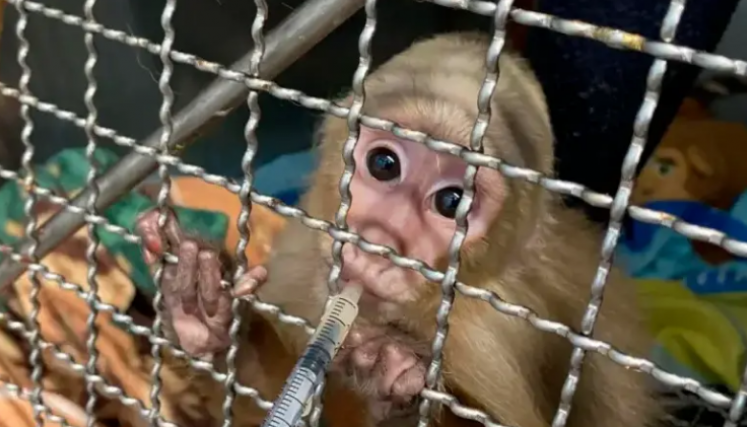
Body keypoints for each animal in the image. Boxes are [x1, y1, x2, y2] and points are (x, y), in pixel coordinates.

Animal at [135, 32, 663, 427]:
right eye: (384, 164)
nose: (379, 243)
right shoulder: (305, 260)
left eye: (452, 202)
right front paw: (204, 314)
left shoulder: (493, 336)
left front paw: (395, 379)